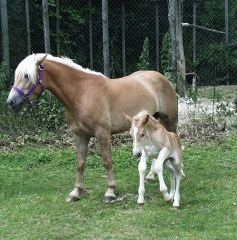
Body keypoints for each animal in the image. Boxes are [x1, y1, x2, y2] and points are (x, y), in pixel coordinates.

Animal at [6, 53, 178, 203]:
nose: (11, 102)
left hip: (169, 121)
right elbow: (80, 163)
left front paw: (110, 192)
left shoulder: (102, 133)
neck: (81, 93)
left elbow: (107, 161)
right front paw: (76, 192)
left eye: (26, 76)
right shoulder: (80, 135)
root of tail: (161, 77)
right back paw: (151, 175)